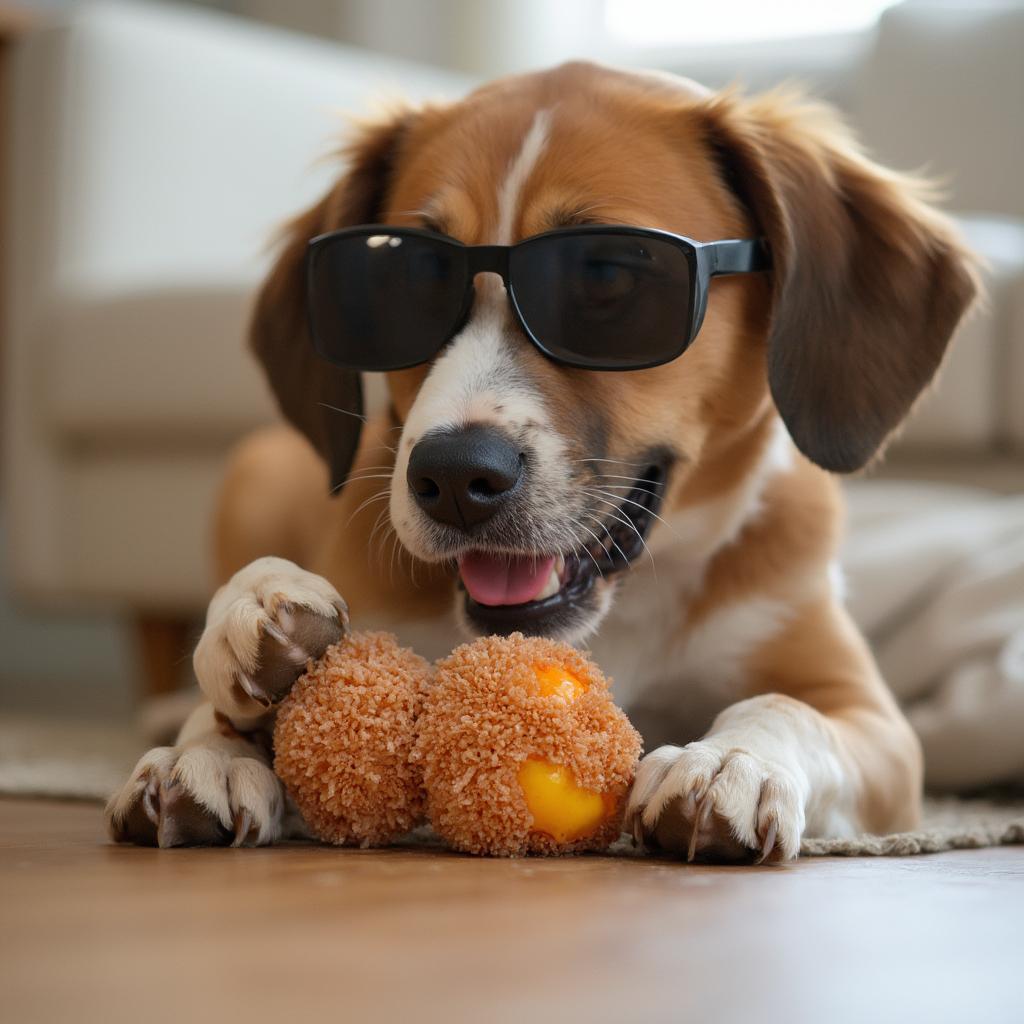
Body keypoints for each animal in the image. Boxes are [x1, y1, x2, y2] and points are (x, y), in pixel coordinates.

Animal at [103, 64, 974, 860]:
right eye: (405, 275)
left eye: (609, 273)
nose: (455, 478)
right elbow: (231, 684)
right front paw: (210, 739)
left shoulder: (875, 722)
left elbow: (786, 709)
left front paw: (732, 758)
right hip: (250, 473)